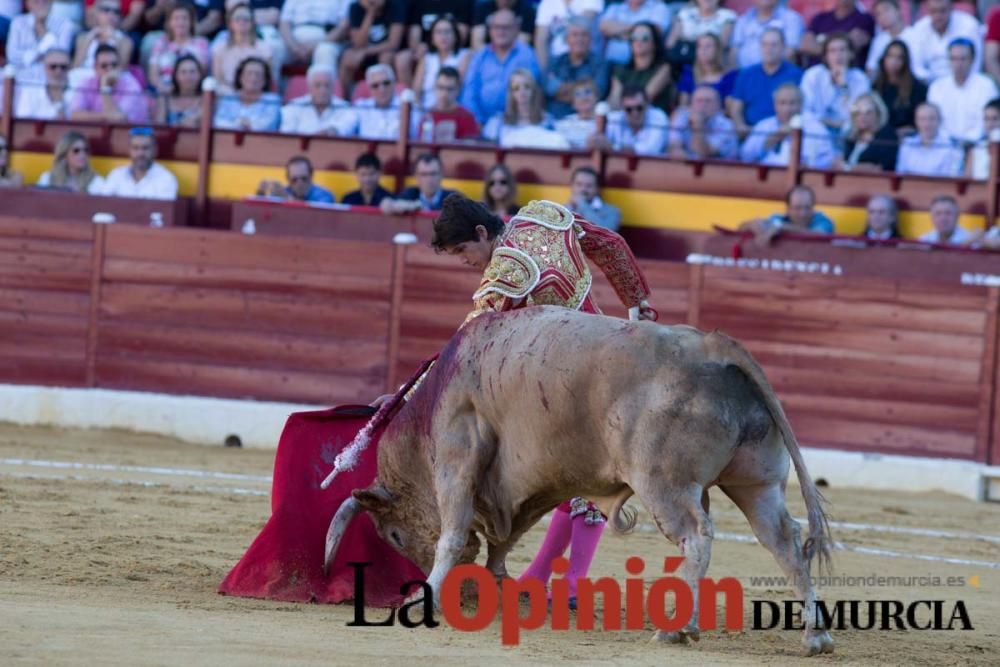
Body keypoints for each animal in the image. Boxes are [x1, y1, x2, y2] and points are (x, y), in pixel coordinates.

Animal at [324, 308, 832, 656]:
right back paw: (814, 635)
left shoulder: (457, 456)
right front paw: (500, 586)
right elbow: (505, 538)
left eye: (393, 535)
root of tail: (714, 346)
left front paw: (422, 598)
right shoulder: (520, 487)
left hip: (664, 484)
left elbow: (452, 534)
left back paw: (674, 628)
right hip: (756, 483)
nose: (463, 595)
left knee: (697, 537)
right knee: (784, 541)